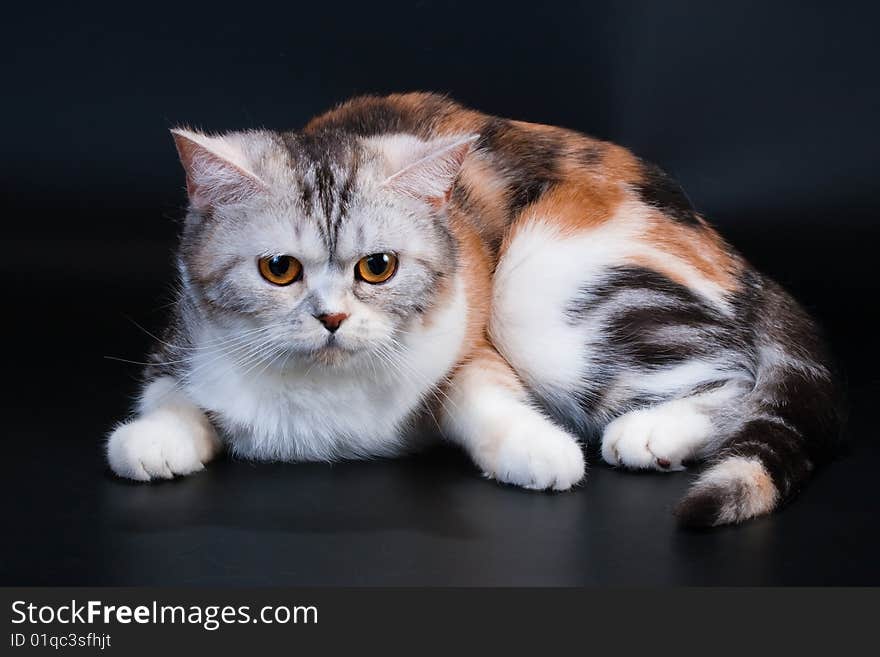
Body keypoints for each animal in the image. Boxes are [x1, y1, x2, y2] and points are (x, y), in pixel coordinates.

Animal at [105, 92, 844, 524]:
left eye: (378, 267)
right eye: (278, 270)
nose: (332, 318)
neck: (322, 398)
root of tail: (719, 240)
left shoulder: (470, 338)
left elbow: (480, 393)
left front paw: (538, 449)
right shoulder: (180, 337)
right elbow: (168, 394)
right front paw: (154, 438)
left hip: (539, 280)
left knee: (733, 372)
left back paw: (650, 432)